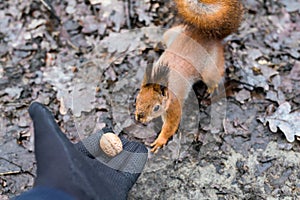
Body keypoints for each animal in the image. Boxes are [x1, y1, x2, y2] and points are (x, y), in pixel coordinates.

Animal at [135, 0, 243, 152]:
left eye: (156, 107)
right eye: (137, 99)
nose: (139, 118)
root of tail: (210, 37)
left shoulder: (174, 106)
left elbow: (171, 126)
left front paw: (159, 141)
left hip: (210, 69)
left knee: (215, 77)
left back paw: (211, 89)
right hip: (171, 33)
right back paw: (157, 45)